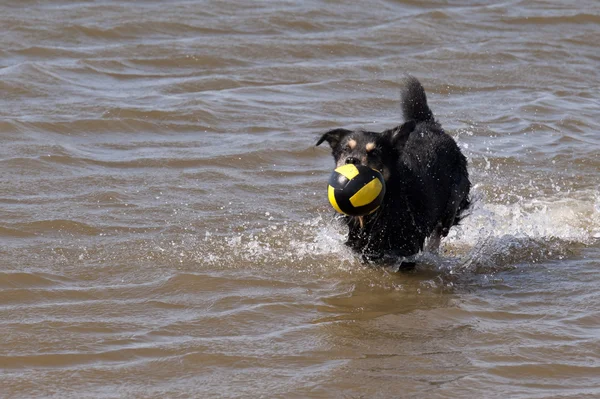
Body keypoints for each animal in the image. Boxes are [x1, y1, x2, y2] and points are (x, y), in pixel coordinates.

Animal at [316, 76, 472, 268]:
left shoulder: (408, 245)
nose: (351, 160)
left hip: (456, 194)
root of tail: (429, 124)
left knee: (443, 225)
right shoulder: (360, 243)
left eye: (374, 152)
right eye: (346, 149)